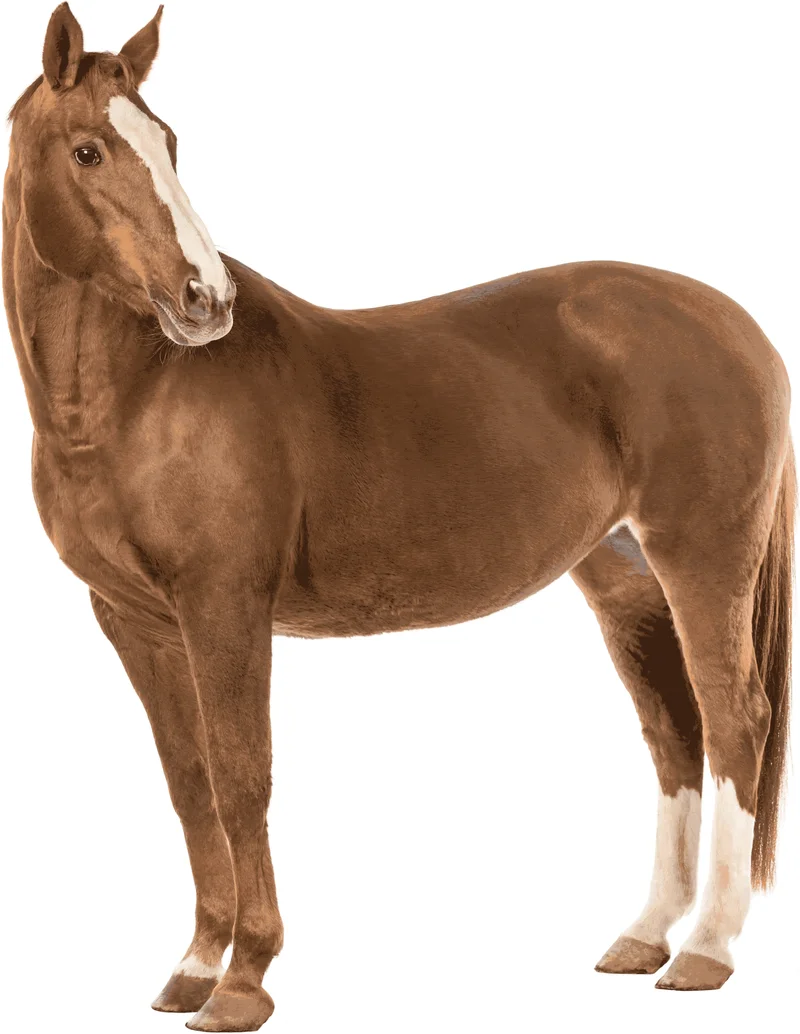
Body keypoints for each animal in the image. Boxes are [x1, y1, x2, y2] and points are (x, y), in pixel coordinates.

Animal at [3, 4, 793, 1032]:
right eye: (90, 150)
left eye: (170, 143)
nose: (205, 300)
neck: (138, 397)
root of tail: (741, 326)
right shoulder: (134, 622)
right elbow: (189, 784)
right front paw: (194, 965)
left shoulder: (224, 608)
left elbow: (242, 777)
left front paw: (244, 980)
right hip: (625, 579)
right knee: (673, 735)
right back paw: (644, 936)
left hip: (704, 561)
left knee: (735, 719)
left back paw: (704, 951)